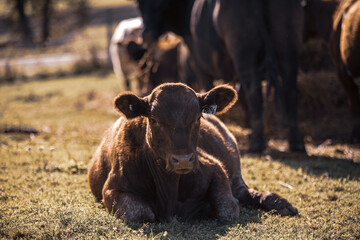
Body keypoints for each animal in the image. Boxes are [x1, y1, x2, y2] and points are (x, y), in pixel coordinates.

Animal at [87, 83, 298, 223]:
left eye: (198, 117)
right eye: (154, 119)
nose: (183, 160)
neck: (169, 190)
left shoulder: (215, 167)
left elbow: (227, 209)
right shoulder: (112, 189)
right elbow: (140, 213)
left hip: (236, 172)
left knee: (247, 193)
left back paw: (282, 204)